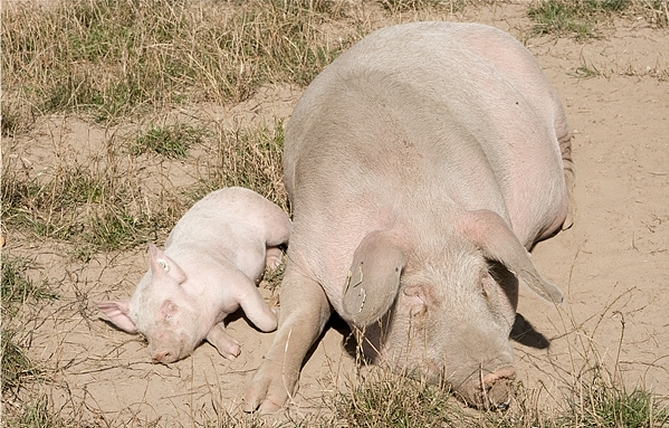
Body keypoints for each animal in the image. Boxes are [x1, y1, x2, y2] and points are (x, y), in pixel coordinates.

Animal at [94, 187, 290, 364]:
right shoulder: (212, 321)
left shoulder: (236, 279)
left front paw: (278, 311)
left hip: (276, 223)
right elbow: (213, 334)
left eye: (170, 309)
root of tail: (236, 188)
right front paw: (233, 352)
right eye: (143, 333)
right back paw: (274, 266)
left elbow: (263, 320)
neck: (217, 311)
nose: (158, 354)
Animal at [245, 22, 576, 412]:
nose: (497, 375)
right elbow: (302, 313)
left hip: (553, 106)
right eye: (415, 295)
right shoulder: (305, 249)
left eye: (483, 282)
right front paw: (259, 405)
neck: (419, 207)